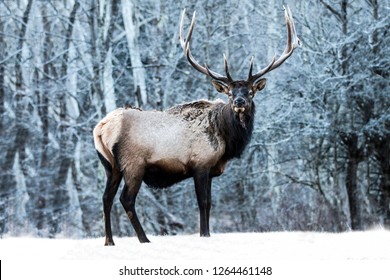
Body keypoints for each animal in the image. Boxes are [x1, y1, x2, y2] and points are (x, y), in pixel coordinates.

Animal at [93, 6, 298, 243]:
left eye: (250, 92)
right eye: (230, 93)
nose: (239, 102)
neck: (226, 140)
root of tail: (101, 128)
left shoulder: (210, 170)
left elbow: (209, 204)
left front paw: (207, 233)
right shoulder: (200, 163)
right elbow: (203, 203)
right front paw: (204, 234)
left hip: (110, 166)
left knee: (106, 198)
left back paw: (109, 241)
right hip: (133, 164)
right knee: (126, 199)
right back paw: (144, 239)